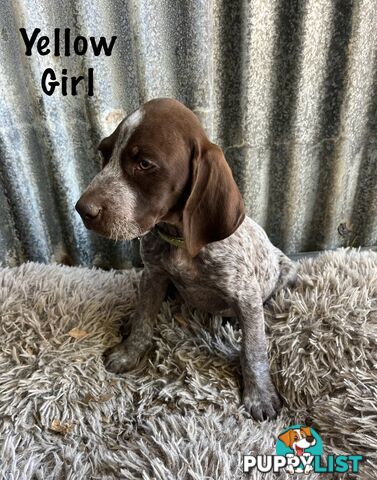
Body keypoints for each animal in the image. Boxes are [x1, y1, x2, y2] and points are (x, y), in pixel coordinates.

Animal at [75, 98, 296, 420]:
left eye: (145, 164)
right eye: (104, 154)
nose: (82, 209)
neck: (179, 240)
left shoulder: (245, 295)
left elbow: (254, 349)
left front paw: (260, 394)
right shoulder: (153, 275)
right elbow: (143, 319)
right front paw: (129, 352)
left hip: (287, 271)